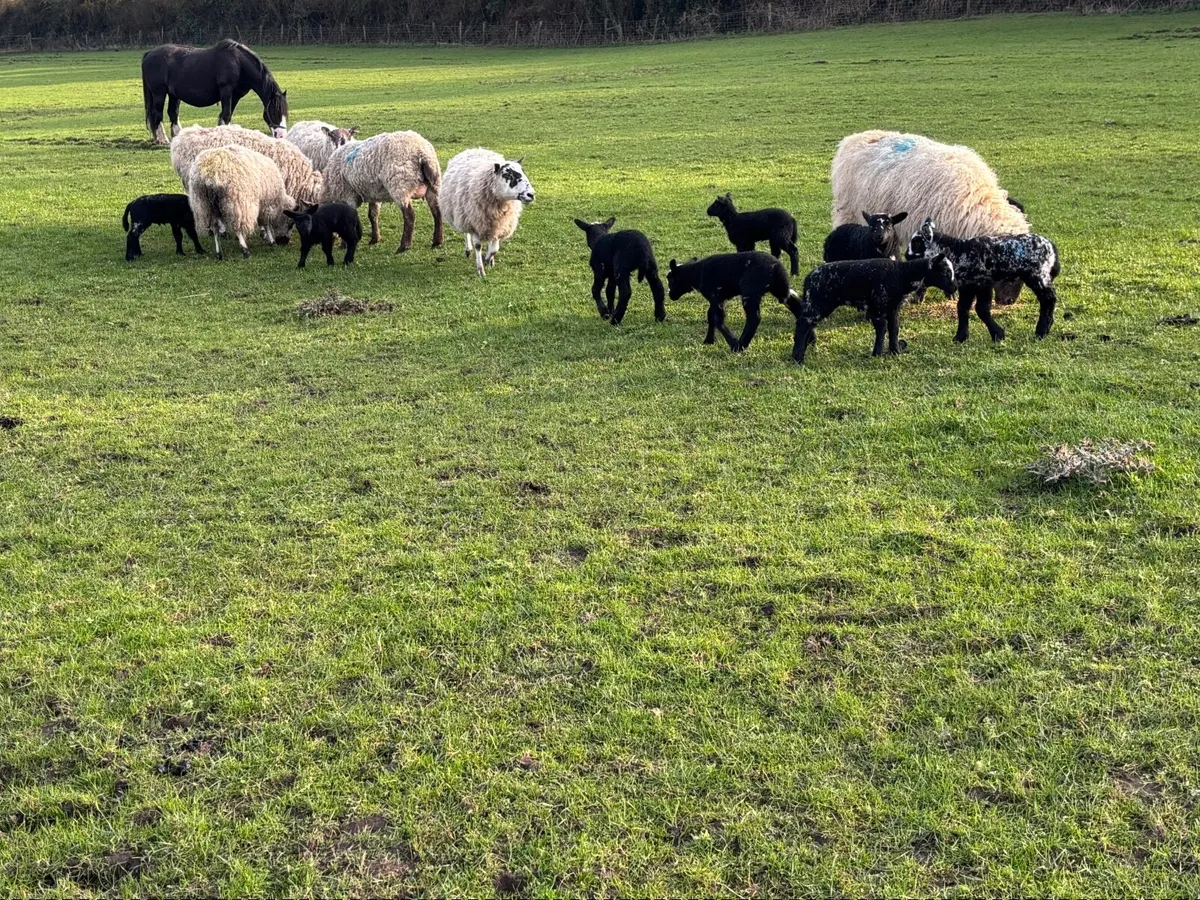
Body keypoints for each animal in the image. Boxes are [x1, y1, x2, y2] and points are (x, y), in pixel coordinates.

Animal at [440, 149, 535, 277]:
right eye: (507, 175)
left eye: (523, 172)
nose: (531, 194)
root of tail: (475, 149)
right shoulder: (474, 223)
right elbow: (478, 246)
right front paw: (481, 269)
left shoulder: (499, 225)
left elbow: (495, 248)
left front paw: (488, 259)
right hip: (463, 213)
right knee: (466, 233)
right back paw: (468, 250)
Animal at [666, 251, 798, 354]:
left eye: (670, 279)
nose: (670, 295)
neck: (696, 273)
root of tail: (776, 268)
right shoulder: (718, 299)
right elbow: (710, 316)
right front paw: (709, 340)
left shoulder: (715, 296)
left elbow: (717, 319)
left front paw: (732, 342)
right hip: (781, 290)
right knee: (797, 305)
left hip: (750, 290)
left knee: (754, 318)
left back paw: (740, 345)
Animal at [792, 255, 958, 365]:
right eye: (945, 273)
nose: (955, 288)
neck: (903, 274)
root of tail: (809, 278)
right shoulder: (878, 307)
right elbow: (882, 329)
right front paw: (877, 354)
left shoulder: (893, 308)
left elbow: (894, 329)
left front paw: (895, 352)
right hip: (818, 303)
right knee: (802, 324)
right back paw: (798, 357)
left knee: (807, 325)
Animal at [831, 130, 1030, 304]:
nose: (1008, 301)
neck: (975, 202)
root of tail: (853, 138)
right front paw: (919, 296)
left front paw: (951, 293)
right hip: (848, 212)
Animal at [906, 217, 1061, 343]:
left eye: (917, 244)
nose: (906, 256)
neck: (958, 252)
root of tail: (1051, 247)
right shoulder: (968, 286)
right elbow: (962, 308)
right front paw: (960, 337)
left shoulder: (982, 284)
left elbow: (981, 309)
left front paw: (997, 335)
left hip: (1038, 275)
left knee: (1048, 300)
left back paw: (1041, 331)